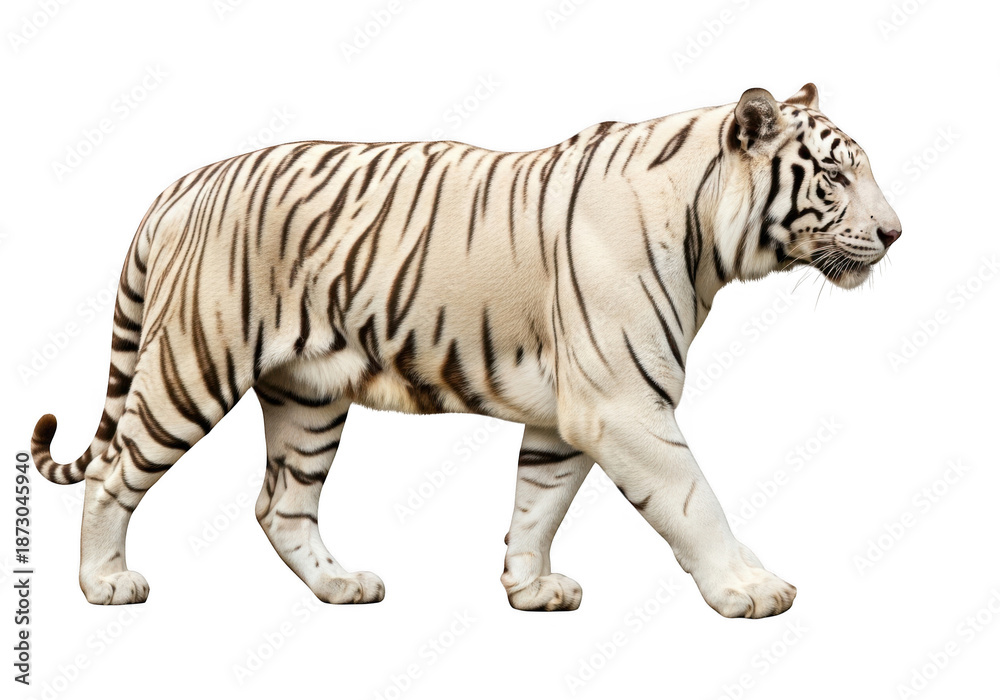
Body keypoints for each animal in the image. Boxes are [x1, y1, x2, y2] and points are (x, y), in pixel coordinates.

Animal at [31, 83, 900, 618]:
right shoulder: (621, 404)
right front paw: (750, 589)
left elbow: (537, 501)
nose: (895, 232)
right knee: (114, 472)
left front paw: (530, 588)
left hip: (309, 395)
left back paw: (341, 585)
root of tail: (184, 182)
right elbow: (695, 501)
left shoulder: (570, 411)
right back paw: (104, 582)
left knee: (280, 503)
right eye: (834, 177)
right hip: (192, 365)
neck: (706, 238)